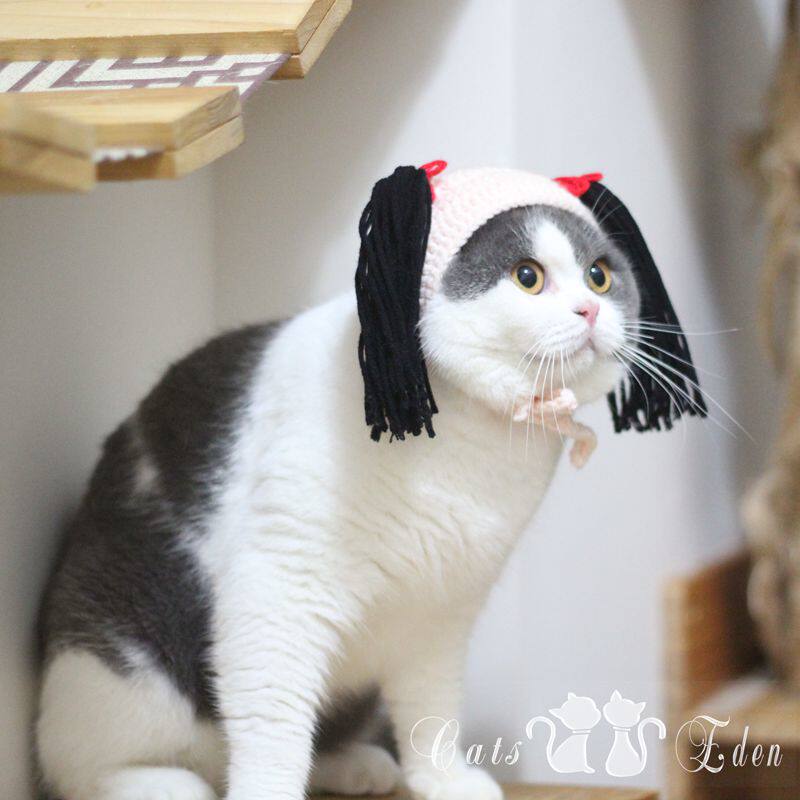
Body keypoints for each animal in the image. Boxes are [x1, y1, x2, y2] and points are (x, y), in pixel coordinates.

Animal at [35, 176, 643, 800]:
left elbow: (432, 707)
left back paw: (357, 764)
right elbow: (272, 718)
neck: (475, 445)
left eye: (600, 274)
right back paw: (166, 784)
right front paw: (268, 794)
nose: (591, 308)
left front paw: (444, 779)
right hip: (118, 659)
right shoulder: (278, 586)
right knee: (81, 764)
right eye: (528, 276)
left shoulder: (442, 611)